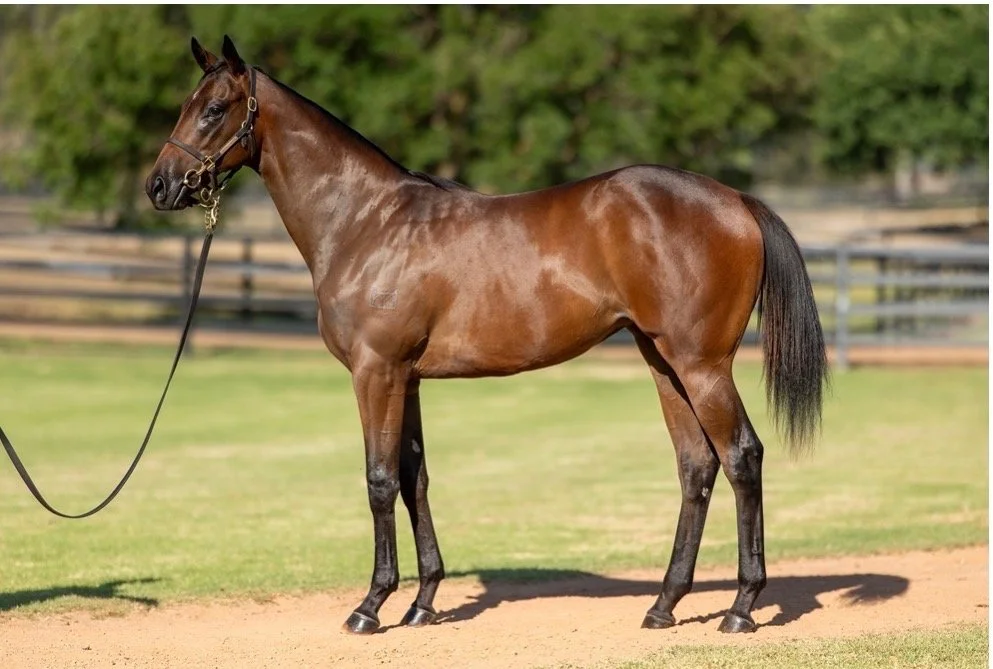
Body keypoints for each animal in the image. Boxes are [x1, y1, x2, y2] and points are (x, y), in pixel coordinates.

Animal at [147, 36, 827, 635]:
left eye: (214, 108)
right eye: (185, 103)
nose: (159, 186)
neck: (366, 222)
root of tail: (735, 199)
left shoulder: (376, 371)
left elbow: (378, 480)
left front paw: (371, 607)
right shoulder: (408, 379)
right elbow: (414, 477)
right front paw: (422, 602)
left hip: (702, 365)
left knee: (741, 457)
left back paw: (741, 608)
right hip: (664, 364)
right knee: (696, 467)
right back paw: (663, 606)